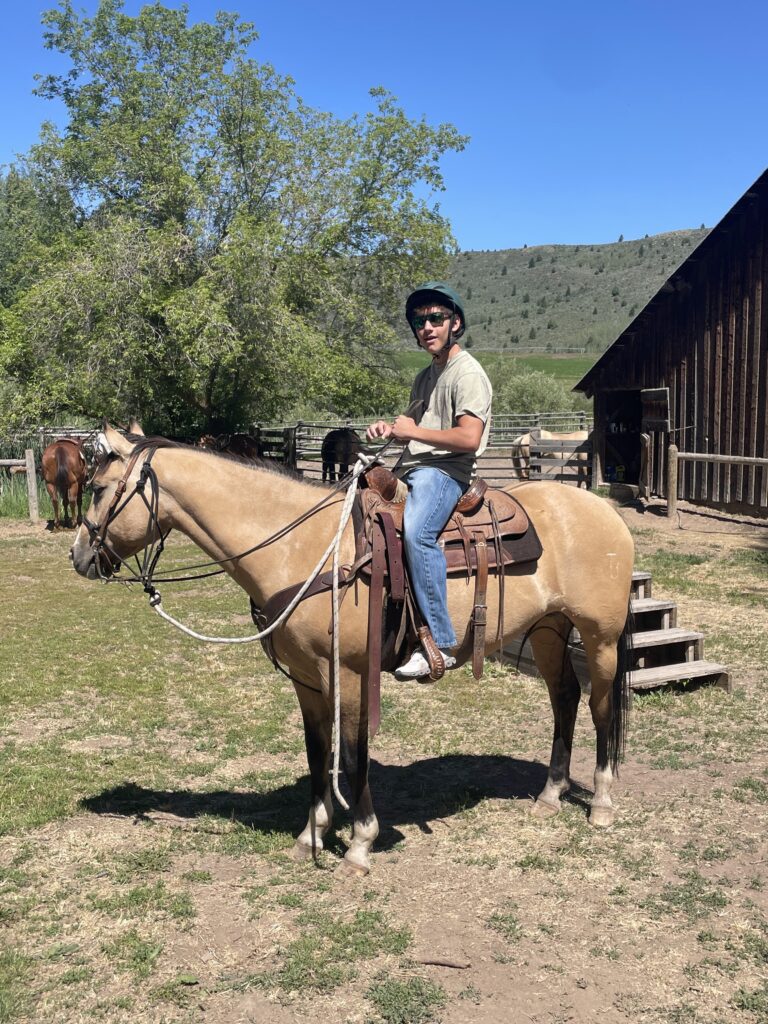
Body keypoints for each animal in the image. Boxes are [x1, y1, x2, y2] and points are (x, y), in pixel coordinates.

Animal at [71, 423, 634, 877]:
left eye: (97, 488)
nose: (78, 556)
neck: (299, 547)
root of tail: (602, 508)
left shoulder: (351, 673)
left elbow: (355, 753)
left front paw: (360, 845)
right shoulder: (306, 679)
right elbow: (320, 753)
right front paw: (311, 834)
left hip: (600, 637)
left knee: (602, 708)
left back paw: (603, 803)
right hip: (548, 630)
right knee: (564, 698)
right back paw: (550, 794)